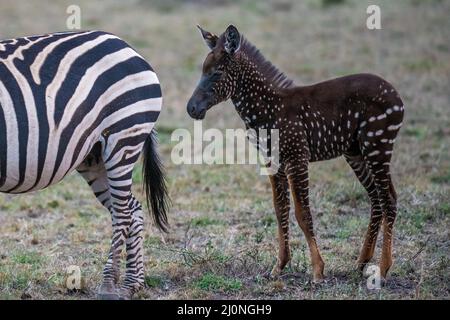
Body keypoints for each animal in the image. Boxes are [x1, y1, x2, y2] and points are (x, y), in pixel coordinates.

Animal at [0, 31, 170, 298]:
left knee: (122, 213)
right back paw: (132, 284)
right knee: (132, 209)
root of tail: (123, 43)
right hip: (94, 156)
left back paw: (109, 286)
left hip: (123, 138)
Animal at [186, 25, 404, 282]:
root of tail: (397, 96)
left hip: (378, 145)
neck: (267, 109)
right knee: (376, 199)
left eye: (218, 72)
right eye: (203, 70)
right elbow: (280, 210)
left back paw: (383, 267)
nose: (191, 109)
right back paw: (362, 262)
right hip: (356, 153)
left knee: (389, 199)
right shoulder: (272, 161)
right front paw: (279, 266)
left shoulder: (297, 157)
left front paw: (318, 269)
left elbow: (303, 213)